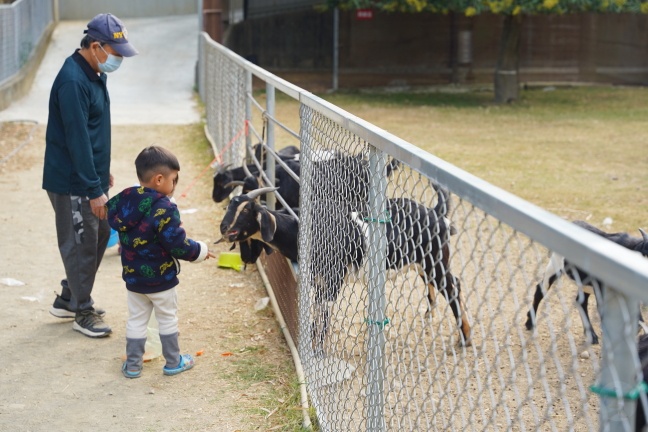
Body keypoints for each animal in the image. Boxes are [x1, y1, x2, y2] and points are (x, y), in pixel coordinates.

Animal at [219, 185, 470, 354]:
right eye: (230, 206)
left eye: (247, 211)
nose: (224, 228)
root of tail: (436, 213)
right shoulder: (317, 280)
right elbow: (317, 311)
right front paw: (312, 341)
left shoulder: (333, 279)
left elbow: (325, 314)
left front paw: (319, 351)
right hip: (421, 263)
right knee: (433, 284)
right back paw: (429, 314)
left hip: (436, 261)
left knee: (454, 286)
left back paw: (465, 338)